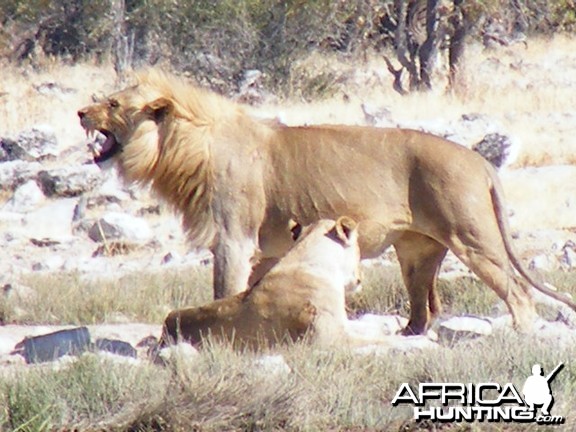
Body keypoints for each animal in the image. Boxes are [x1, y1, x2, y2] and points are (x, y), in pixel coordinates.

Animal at [77, 70, 576, 334]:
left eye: (113, 104)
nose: (81, 112)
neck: (181, 145)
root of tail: (479, 159)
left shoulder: (234, 237)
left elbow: (224, 289)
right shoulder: (265, 247)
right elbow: (248, 290)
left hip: (472, 238)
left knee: (517, 291)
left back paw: (521, 333)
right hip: (415, 251)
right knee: (426, 308)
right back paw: (408, 336)